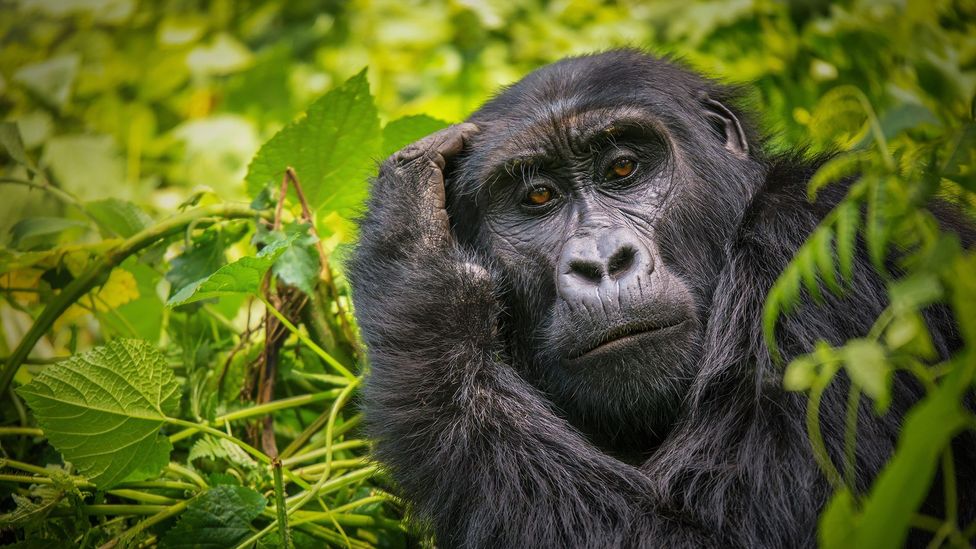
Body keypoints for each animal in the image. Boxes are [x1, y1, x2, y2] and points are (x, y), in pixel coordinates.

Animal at [346, 49, 972, 544]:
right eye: (538, 197)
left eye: (623, 167)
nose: (600, 262)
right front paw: (414, 243)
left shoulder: (827, 244)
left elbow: (725, 533)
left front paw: (415, 274)